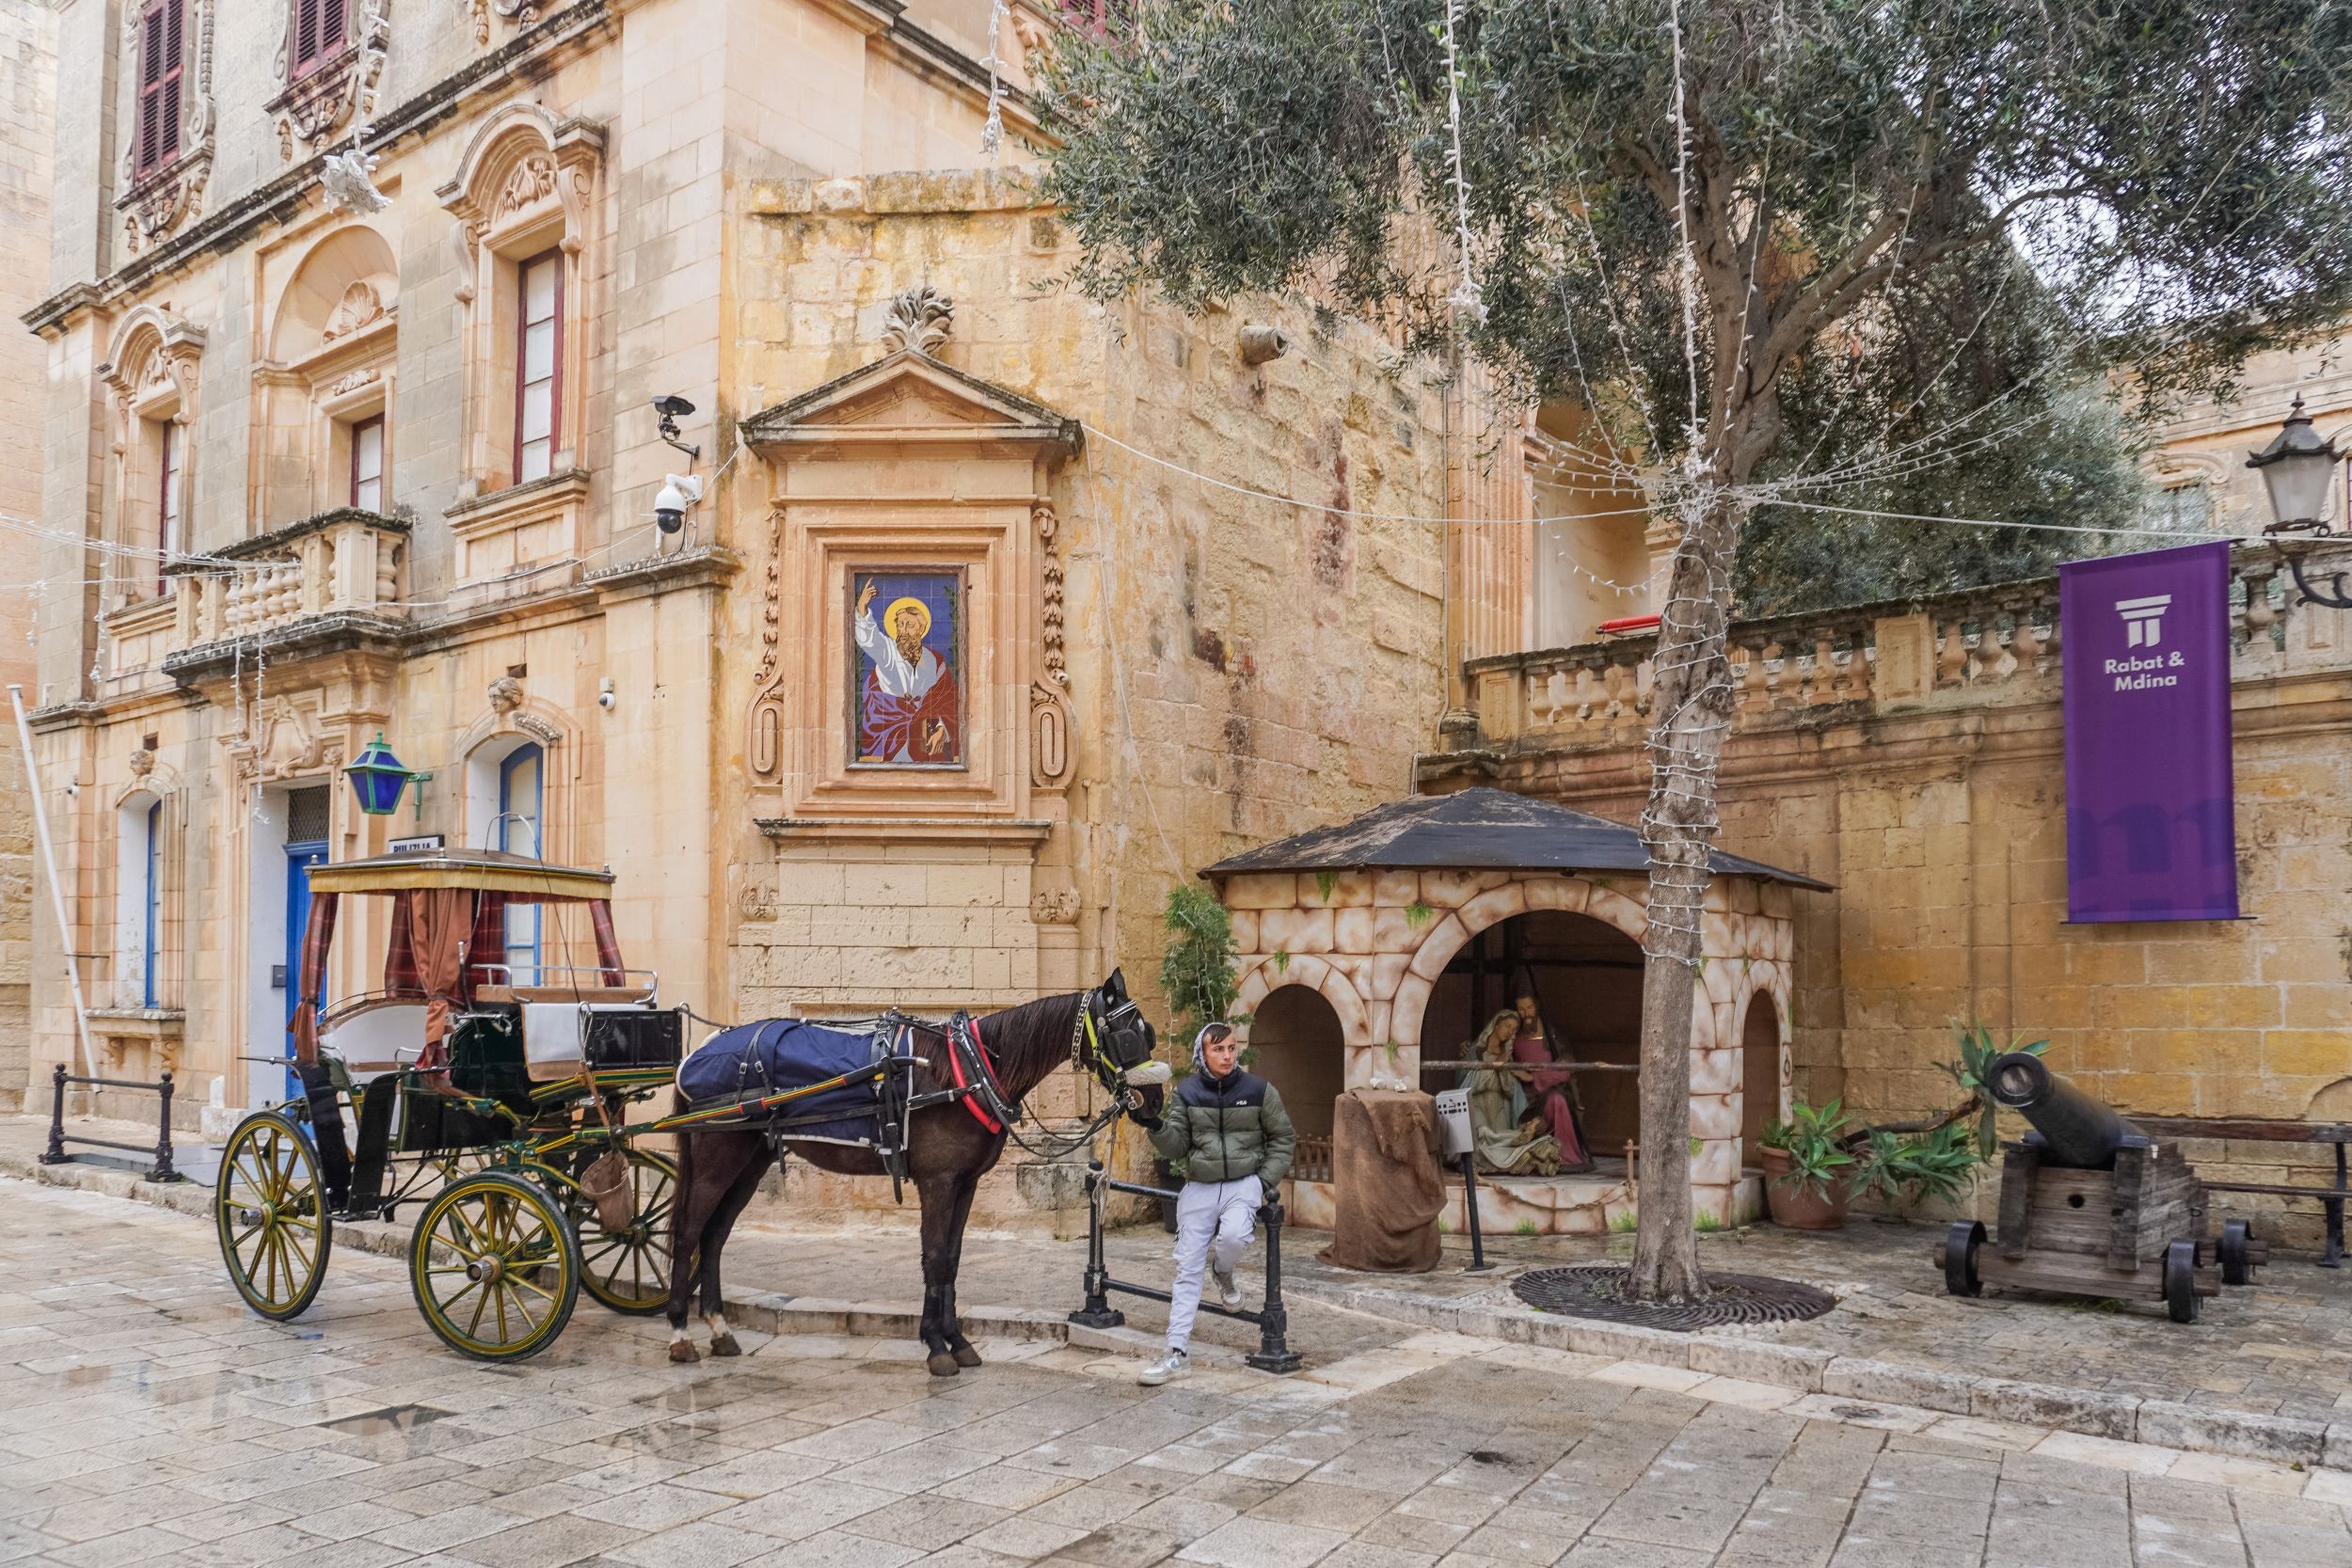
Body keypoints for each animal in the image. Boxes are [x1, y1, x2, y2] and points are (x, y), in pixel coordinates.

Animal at [662, 974, 1166, 1376]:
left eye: (1149, 1033)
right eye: (1126, 1035)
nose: (1157, 1104)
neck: (972, 1068)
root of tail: (698, 1051)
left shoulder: (965, 1182)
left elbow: (952, 1259)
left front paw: (957, 1341)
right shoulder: (938, 1181)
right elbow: (935, 1258)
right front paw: (937, 1346)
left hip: (749, 1163)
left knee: (714, 1236)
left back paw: (719, 1329)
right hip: (716, 1157)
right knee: (687, 1233)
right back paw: (679, 1332)